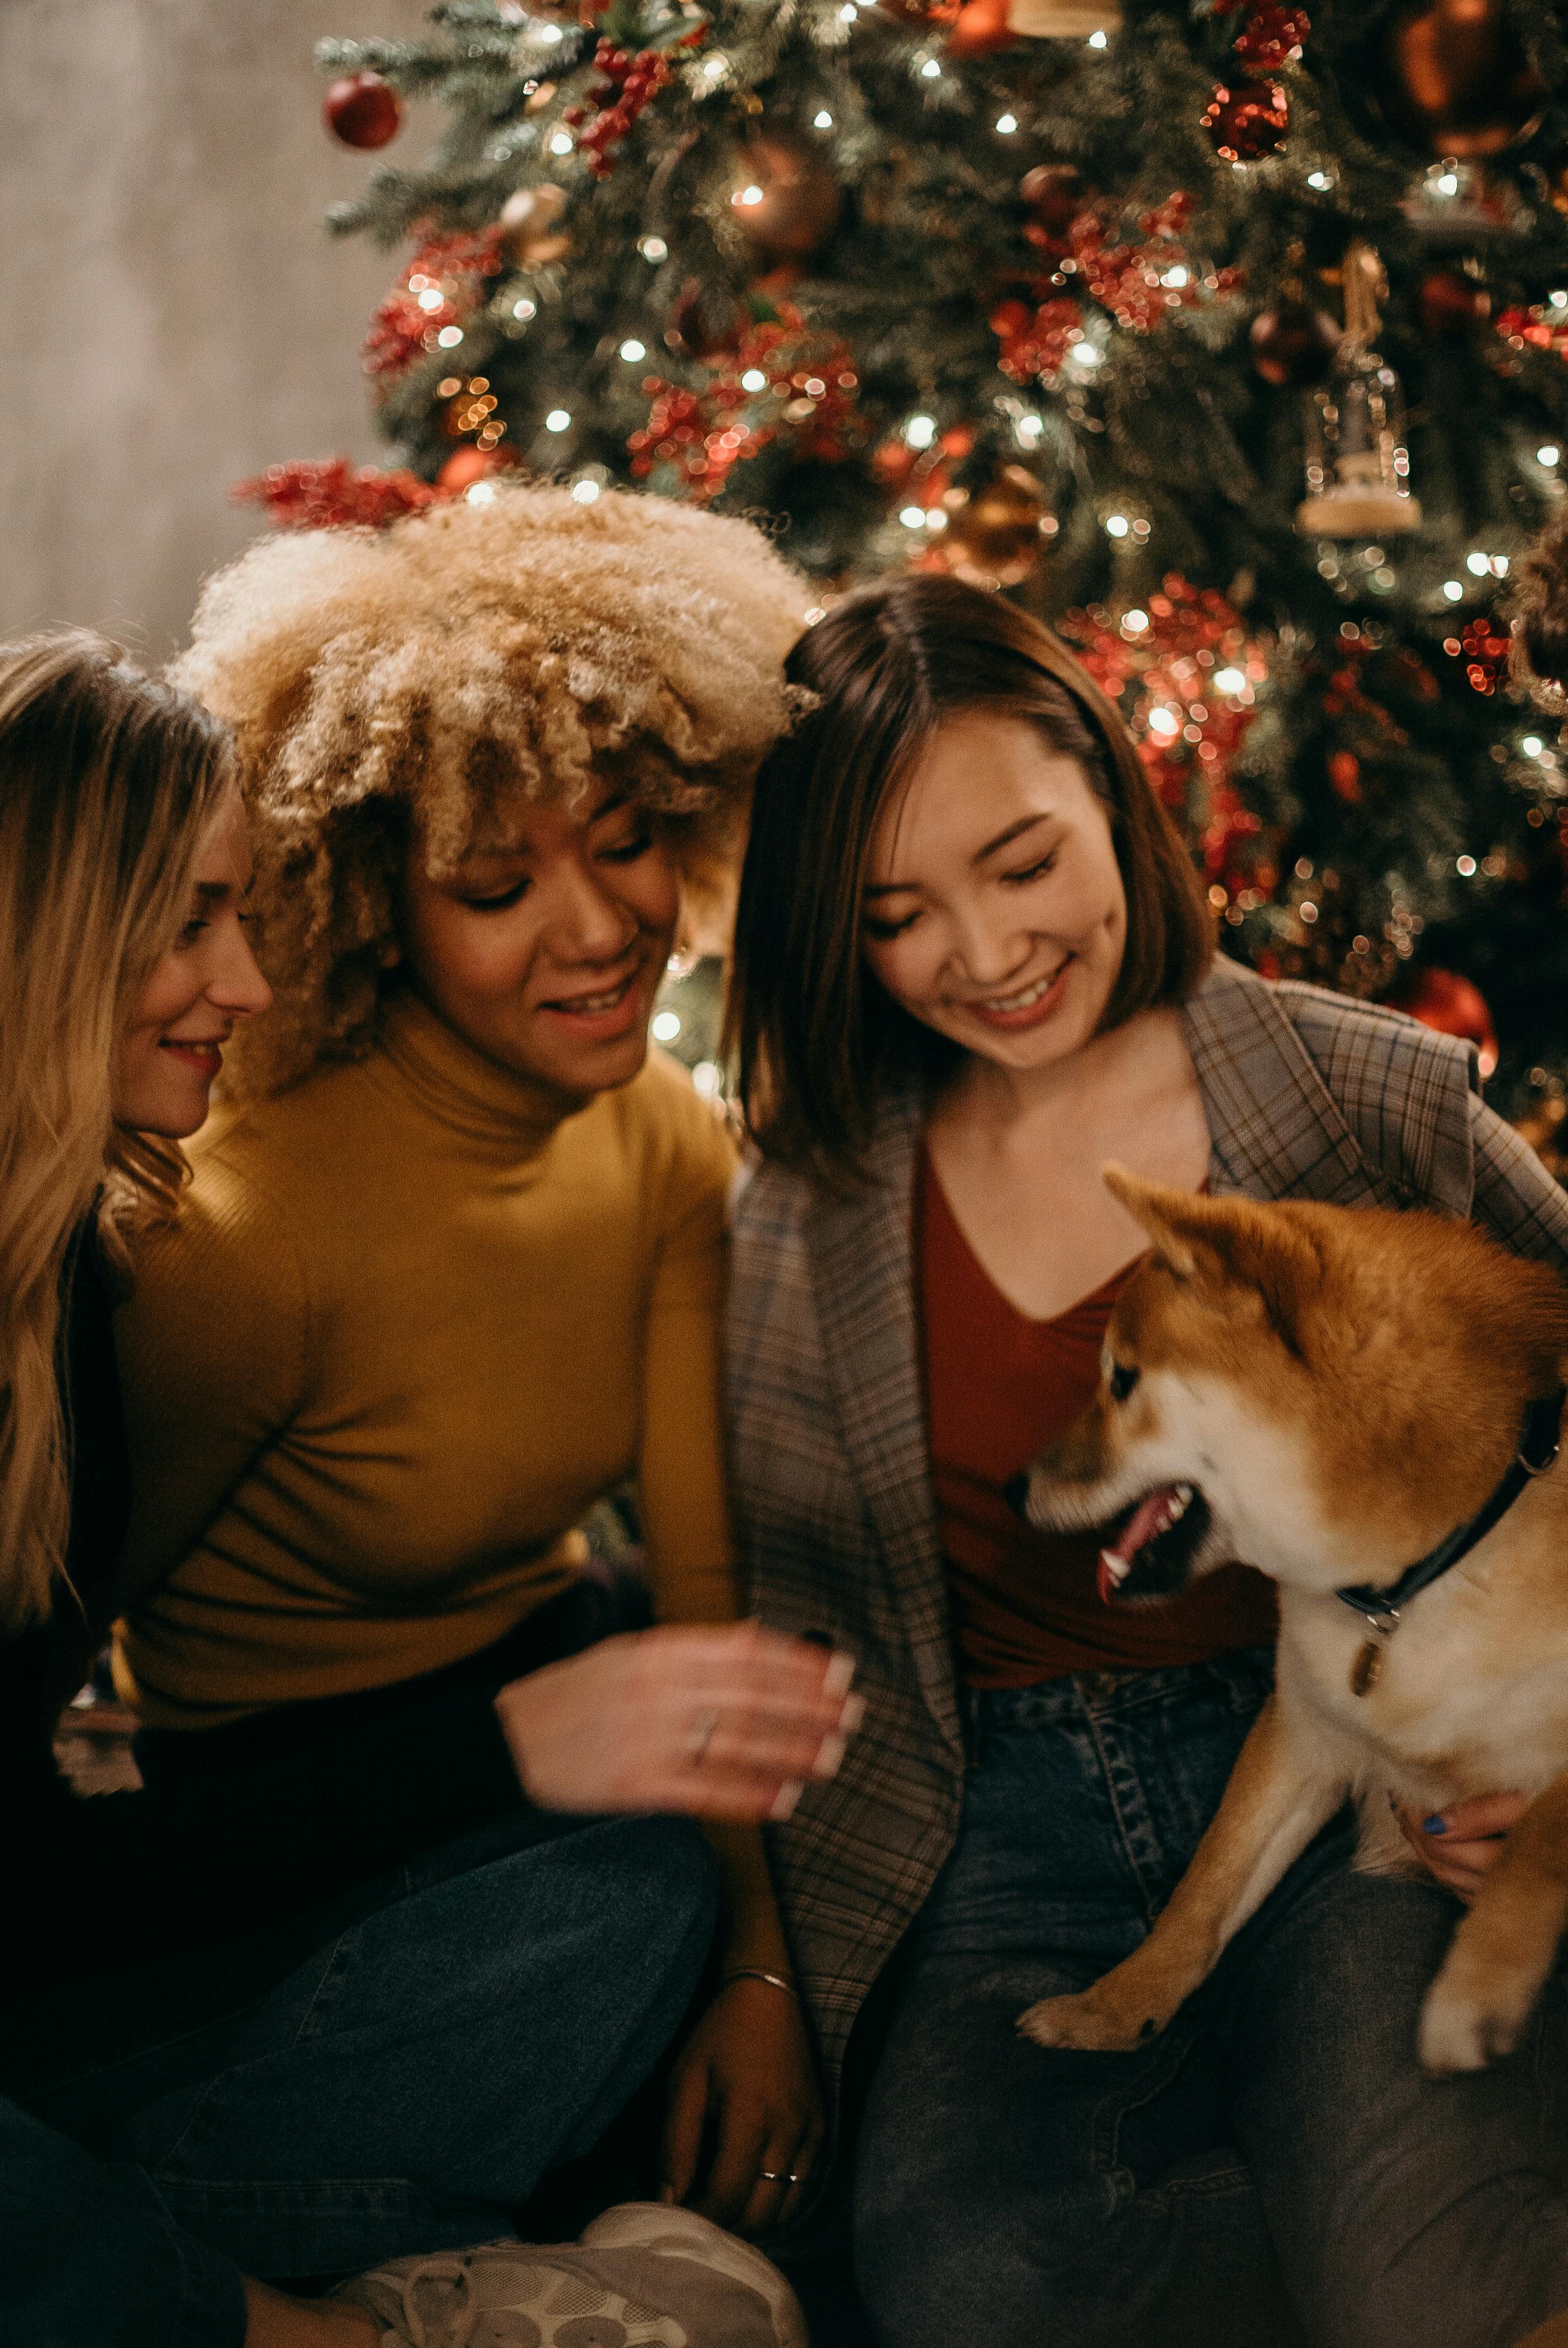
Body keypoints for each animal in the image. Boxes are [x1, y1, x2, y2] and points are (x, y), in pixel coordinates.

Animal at [1018, 1169, 1567, 2075]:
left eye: (1122, 1380)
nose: (1011, 1486)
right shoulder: (1304, 1729)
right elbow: (1205, 1889)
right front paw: (1113, 2009)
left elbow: (1539, 1840)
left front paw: (1475, 1991)